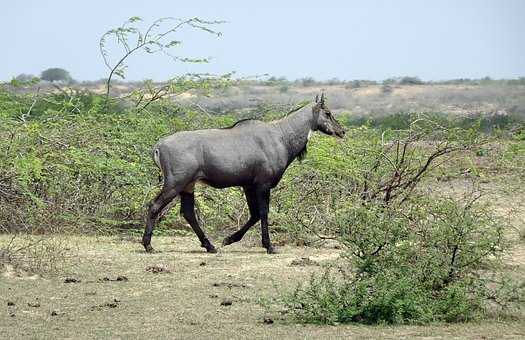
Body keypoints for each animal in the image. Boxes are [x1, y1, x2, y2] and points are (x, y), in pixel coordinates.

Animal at [142, 94, 344, 254]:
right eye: (327, 113)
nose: (342, 131)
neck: (281, 136)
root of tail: (159, 146)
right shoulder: (263, 184)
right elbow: (263, 212)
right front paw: (269, 246)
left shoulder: (248, 185)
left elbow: (254, 214)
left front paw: (229, 239)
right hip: (175, 183)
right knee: (154, 205)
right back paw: (148, 245)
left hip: (188, 185)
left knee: (188, 213)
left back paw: (210, 246)